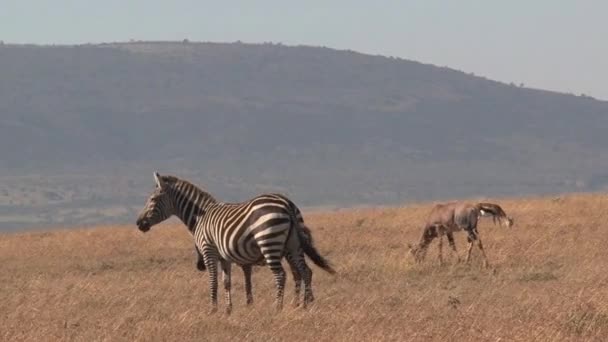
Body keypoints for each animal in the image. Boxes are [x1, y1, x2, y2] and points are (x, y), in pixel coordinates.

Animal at [135, 172, 334, 314]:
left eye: (152, 199)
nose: (138, 223)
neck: (201, 216)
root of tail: (287, 203)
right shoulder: (224, 257)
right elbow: (226, 282)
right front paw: (228, 309)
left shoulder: (209, 251)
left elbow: (213, 280)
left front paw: (213, 309)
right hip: (293, 245)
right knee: (304, 271)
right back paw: (305, 304)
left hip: (269, 241)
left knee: (281, 275)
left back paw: (278, 307)